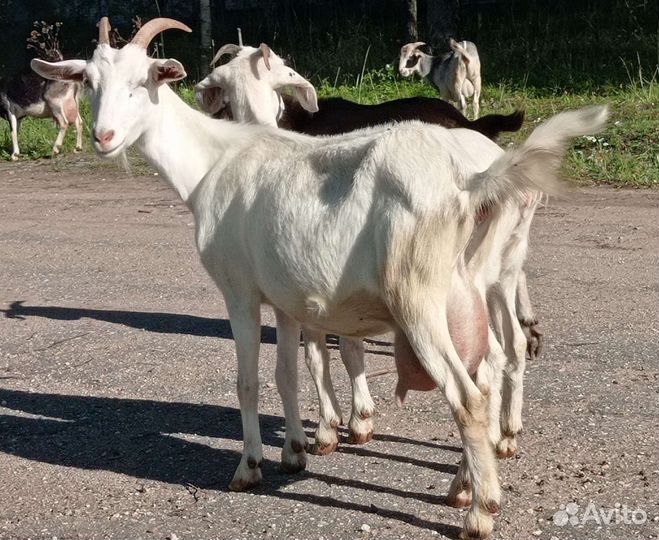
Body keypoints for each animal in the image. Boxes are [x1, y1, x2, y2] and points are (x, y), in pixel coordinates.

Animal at [196, 44, 545, 458]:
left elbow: (325, 352)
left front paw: (337, 426)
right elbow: (343, 346)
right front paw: (352, 419)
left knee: (488, 351)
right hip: (502, 256)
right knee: (511, 337)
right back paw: (508, 429)